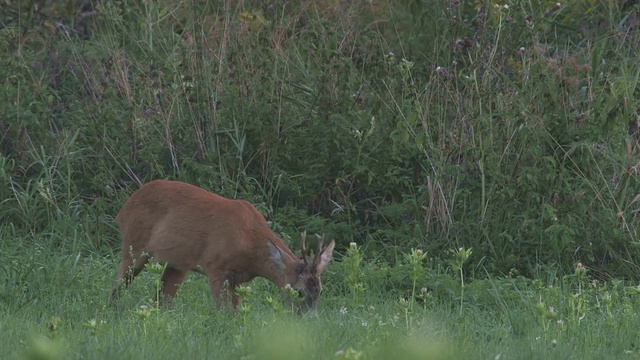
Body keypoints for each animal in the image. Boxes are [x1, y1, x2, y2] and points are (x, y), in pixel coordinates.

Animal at [109, 180, 336, 312]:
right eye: (298, 291)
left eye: (321, 291)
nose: (308, 319)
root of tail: (123, 209)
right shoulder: (215, 266)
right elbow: (224, 310)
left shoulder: (236, 279)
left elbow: (235, 310)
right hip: (133, 245)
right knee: (117, 286)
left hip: (176, 263)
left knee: (162, 297)